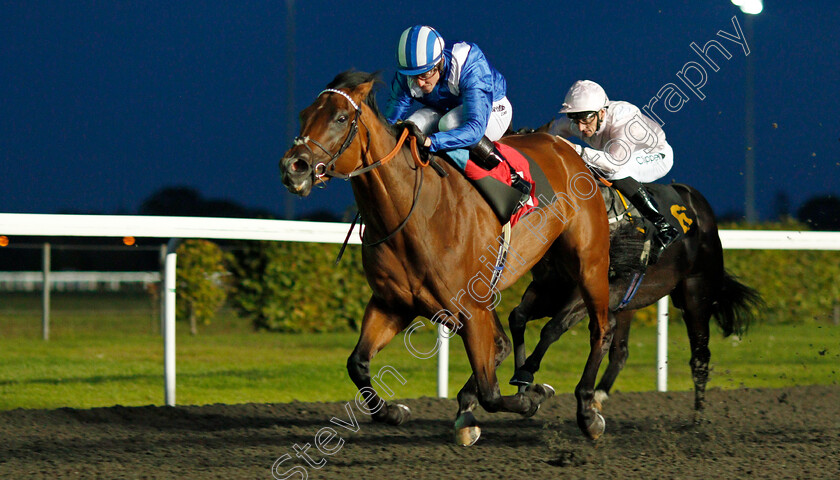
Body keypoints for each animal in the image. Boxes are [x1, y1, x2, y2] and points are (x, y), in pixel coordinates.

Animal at [278, 71, 612, 446]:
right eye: (304, 114)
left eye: (340, 117)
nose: (294, 167)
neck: (416, 212)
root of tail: (564, 146)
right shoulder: (392, 304)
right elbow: (358, 363)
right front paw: (394, 411)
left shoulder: (471, 308)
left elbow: (491, 392)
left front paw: (533, 397)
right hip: (548, 273)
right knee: (510, 335)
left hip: (590, 264)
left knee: (600, 329)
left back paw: (588, 411)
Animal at [508, 182, 764, 418]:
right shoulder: (549, 288)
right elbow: (518, 317)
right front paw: (522, 385)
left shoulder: (584, 293)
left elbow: (553, 328)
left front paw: (527, 372)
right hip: (626, 304)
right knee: (620, 352)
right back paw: (598, 396)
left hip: (696, 296)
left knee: (700, 357)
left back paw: (698, 419)